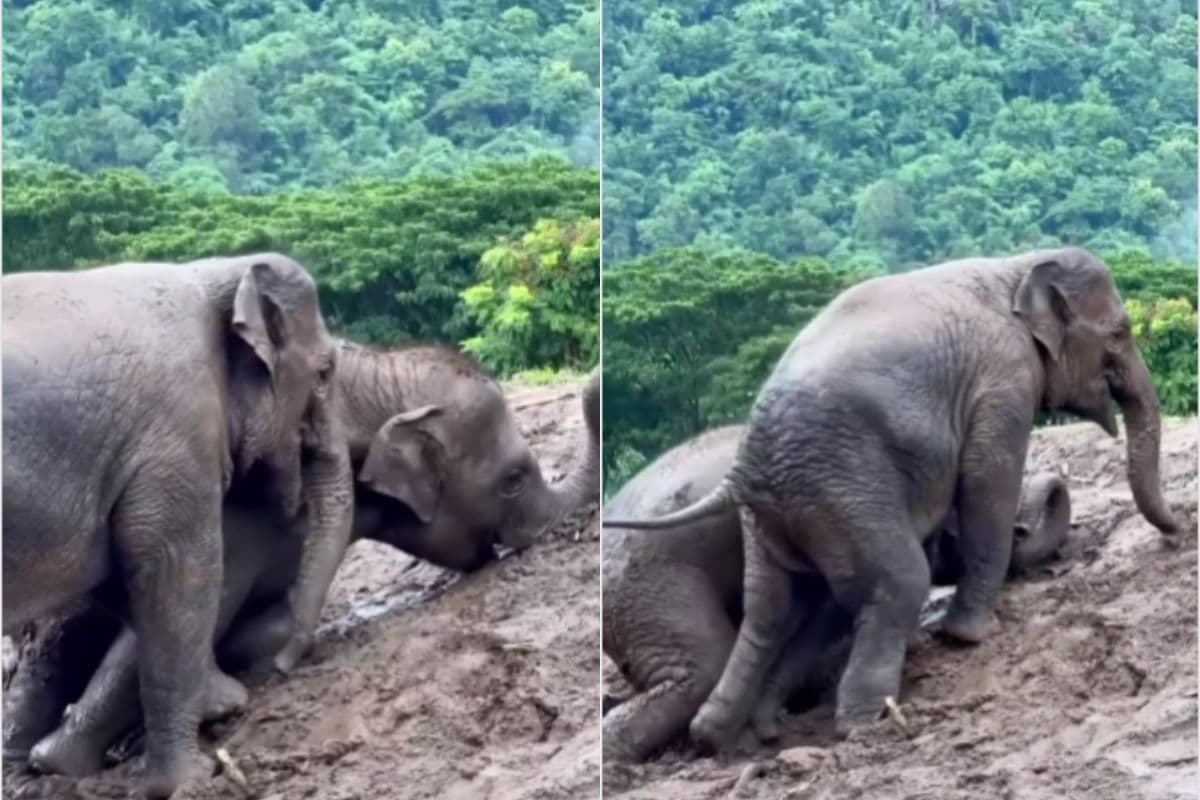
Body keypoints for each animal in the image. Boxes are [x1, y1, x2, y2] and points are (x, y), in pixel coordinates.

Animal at [2, 254, 354, 797]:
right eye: (324, 371)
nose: (284, 667)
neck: (214, 271)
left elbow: (119, 582)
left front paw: (221, 701)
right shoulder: (177, 434)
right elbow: (180, 571)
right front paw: (191, 778)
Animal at [4, 344, 601, 783]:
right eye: (514, 479)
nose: (594, 383)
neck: (370, 378)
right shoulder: (222, 509)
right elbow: (194, 610)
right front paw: (62, 762)